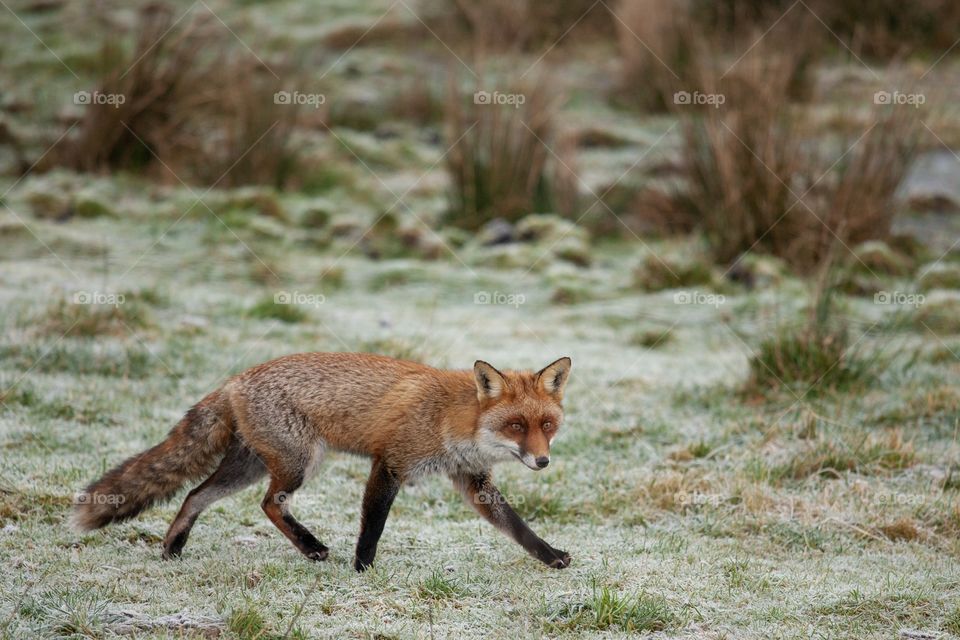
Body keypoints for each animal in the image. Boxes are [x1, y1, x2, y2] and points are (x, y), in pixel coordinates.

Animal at [72, 352, 573, 571]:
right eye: (515, 426)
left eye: (547, 425)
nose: (543, 461)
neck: (453, 418)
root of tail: (235, 379)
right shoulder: (389, 462)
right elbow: (373, 524)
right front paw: (363, 568)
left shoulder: (472, 480)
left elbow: (518, 528)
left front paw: (550, 557)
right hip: (299, 463)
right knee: (268, 504)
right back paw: (311, 546)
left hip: (251, 466)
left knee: (196, 494)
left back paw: (172, 548)